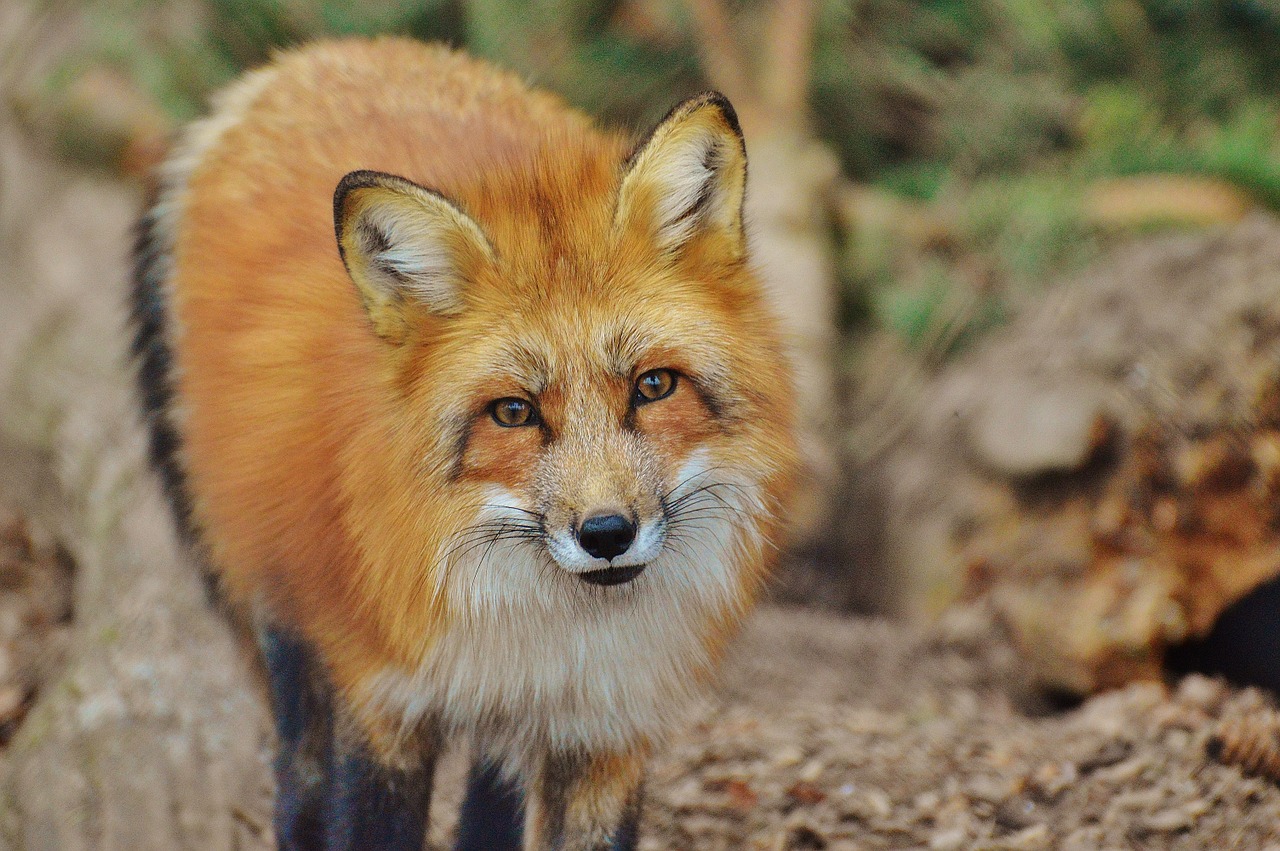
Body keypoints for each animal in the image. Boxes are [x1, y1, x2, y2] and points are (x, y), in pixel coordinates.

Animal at [124, 36, 793, 844]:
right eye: (513, 412)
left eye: (654, 386)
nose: (607, 533)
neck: (544, 633)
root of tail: (318, 55)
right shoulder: (385, 704)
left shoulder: (606, 730)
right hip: (284, 628)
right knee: (297, 785)